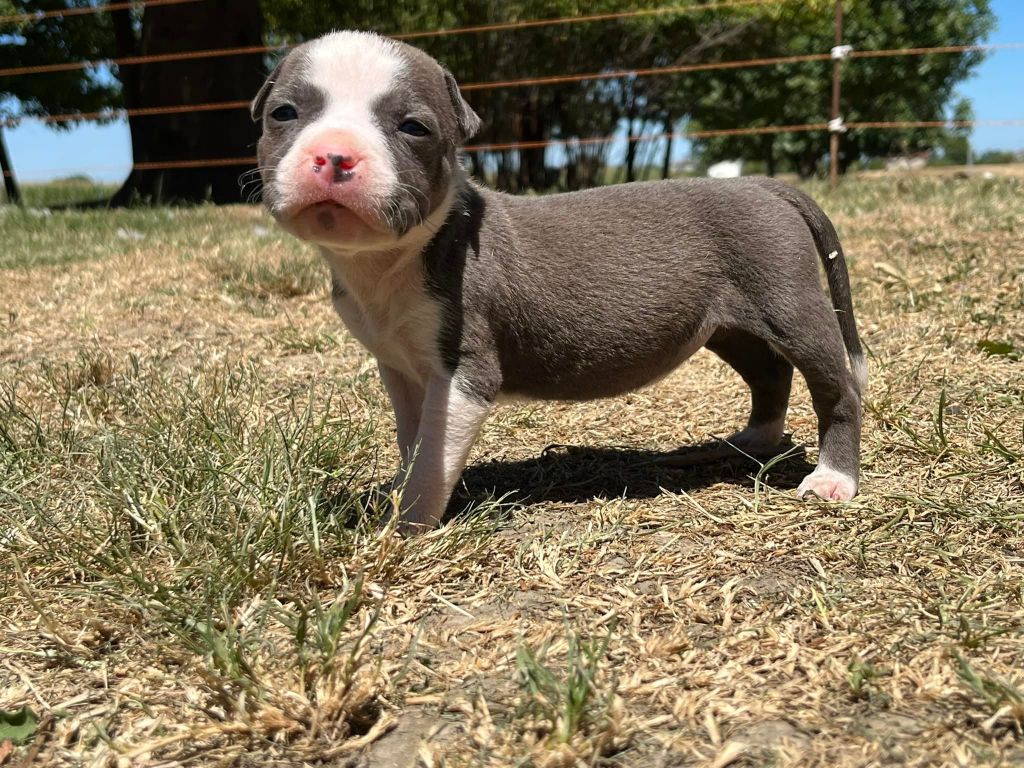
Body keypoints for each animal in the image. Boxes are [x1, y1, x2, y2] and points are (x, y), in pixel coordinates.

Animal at [251, 31, 867, 532]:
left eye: (413, 127)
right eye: (283, 113)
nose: (335, 155)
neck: (389, 262)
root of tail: (763, 185)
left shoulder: (464, 370)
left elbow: (433, 457)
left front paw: (404, 528)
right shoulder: (399, 365)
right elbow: (413, 440)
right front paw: (399, 497)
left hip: (790, 303)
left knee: (836, 387)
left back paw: (833, 479)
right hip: (729, 323)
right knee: (769, 373)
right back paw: (750, 441)